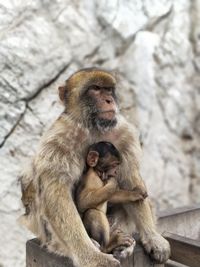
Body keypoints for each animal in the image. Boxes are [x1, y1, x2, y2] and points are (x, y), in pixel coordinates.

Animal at [19, 68, 170, 267]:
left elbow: (130, 179)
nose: (109, 100)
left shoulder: (124, 135)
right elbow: (57, 194)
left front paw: (153, 237)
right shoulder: (58, 141)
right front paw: (90, 255)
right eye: (96, 89)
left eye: (108, 90)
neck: (92, 127)